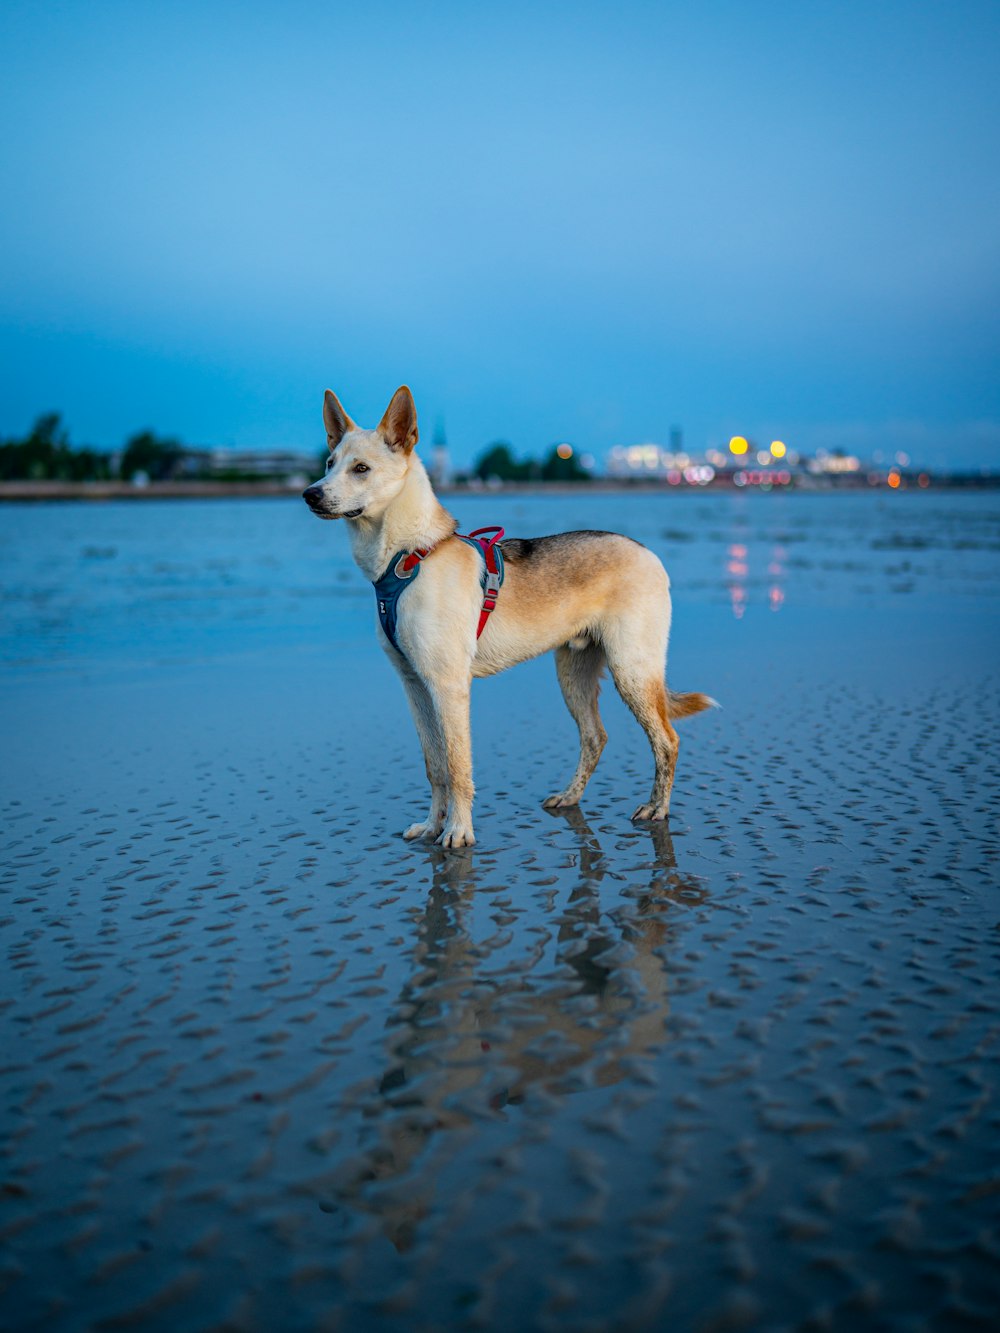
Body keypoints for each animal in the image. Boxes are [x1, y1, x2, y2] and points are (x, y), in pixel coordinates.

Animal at [301, 386, 714, 847]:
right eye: (329, 463)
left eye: (361, 469)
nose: (310, 494)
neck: (409, 556)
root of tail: (647, 552)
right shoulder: (414, 686)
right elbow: (434, 766)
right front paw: (431, 825)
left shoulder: (448, 686)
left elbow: (458, 766)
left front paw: (458, 831)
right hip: (573, 672)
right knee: (595, 737)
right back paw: (570, 797)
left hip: (633, 669)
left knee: (667, 740)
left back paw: (657, 808)